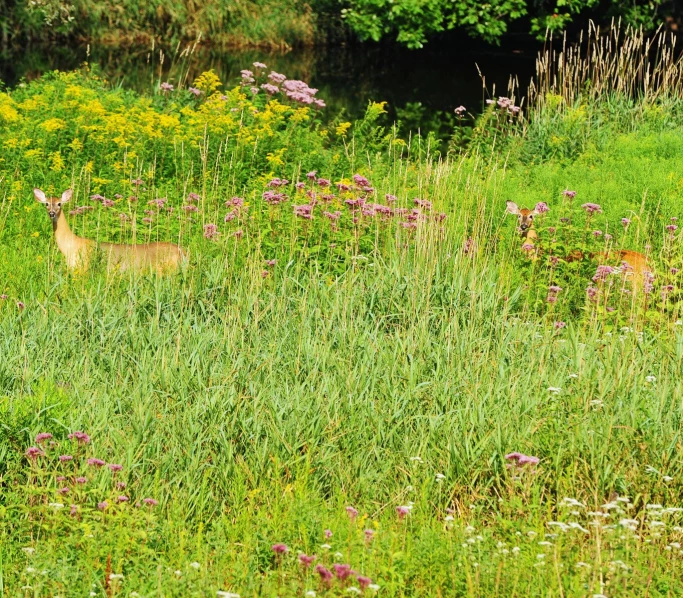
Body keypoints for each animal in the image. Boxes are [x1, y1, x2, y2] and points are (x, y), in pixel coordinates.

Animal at [34, 188, 187, 274]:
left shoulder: (83, 268)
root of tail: (181, 250)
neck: (70, 246)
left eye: (59, 203)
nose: (52, 213)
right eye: (46, 204)